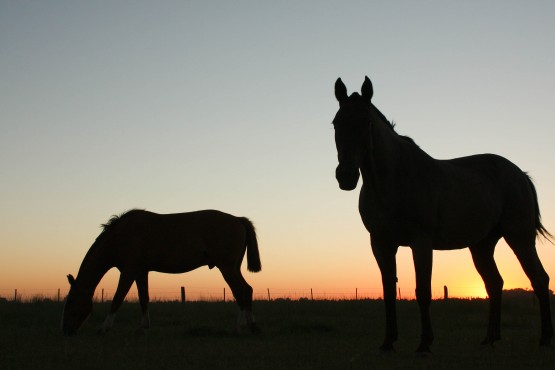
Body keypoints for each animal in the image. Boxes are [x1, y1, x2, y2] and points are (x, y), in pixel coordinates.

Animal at [62, 210, 262, 336]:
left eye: (70, 301)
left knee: (241, 291)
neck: (121, 236)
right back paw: (251, 325)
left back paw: (240, 327)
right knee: (246, 290)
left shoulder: (128, 271)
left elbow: (117, 298)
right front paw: (143, 328)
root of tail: (238, 219)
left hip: (227, 267)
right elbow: (144, 298)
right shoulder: (141, 272)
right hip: (232, 268)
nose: (65, 331)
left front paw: (104, 328)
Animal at [332, 76, 552, 352]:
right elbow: (389, 292)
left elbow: (423, 291)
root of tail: (519, 174)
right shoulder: (381, 244)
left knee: (540, 279)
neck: (394, 179)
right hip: (482, 245)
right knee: (495, 284)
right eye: (336, 123)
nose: (346, 176)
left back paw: (544, 338)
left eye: (367, 123)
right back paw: (489, 339)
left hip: (520, 239)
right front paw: (388, 342)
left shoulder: (421, 242)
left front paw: (425, 343)